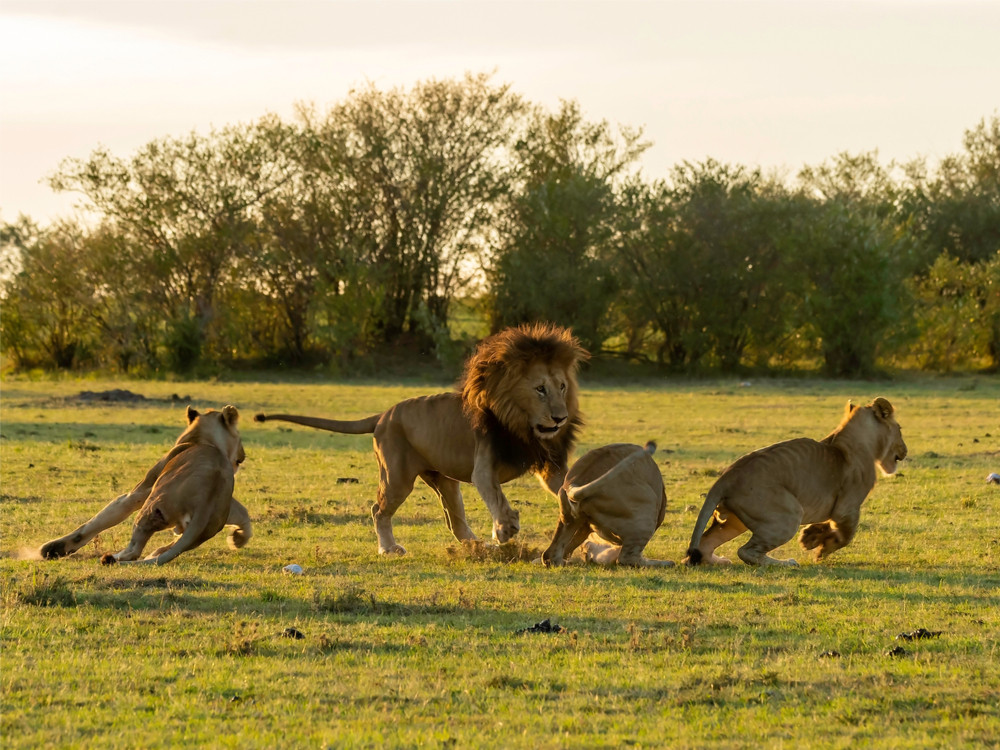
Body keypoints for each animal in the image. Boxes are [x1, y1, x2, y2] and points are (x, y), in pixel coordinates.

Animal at [39, 406, 252, 564]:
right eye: (240, 436)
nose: (244, 454)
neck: (206, 442)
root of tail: (204, 509)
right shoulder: (230, 498)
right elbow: (244, 514)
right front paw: (238, 538)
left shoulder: (139, 492)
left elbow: (97, 522)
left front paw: (54, 548)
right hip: (199, 529)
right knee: (170, 546)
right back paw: (152, 554)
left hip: (150, 508)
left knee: (134, 551)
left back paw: (112, 557)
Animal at [254, 324, 588, 560]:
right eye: (540, 389)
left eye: (562, 387)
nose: (560, 418)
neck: (523, 426)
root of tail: (383, 415)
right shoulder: (483, 468)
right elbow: (496, 496)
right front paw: (505, 528)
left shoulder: (549, 465)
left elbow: (563, 486)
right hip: (397, 477)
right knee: (378, 510)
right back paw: (389, 549)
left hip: (444, 481)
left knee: (454, 521)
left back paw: (476, 547)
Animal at [544, 444, 676, 568]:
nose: (586, 552)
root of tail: (574, 483)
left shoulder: (584, 527)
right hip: (647, 510)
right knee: (627, 558)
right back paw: (666, 563)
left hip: (570, 521)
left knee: (550, 555)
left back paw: (564, 561)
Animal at [688, 396, 908, 568]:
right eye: (900, 428)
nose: (905, 451)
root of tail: (725, 477)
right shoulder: (846, 508)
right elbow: (846, 535)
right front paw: (822, 550)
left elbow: (826, 525)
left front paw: (810, 537)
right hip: (788, 514)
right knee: (746, 551)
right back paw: (787, 563)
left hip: (735, 521)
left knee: (705, 543)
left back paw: (718, 561)